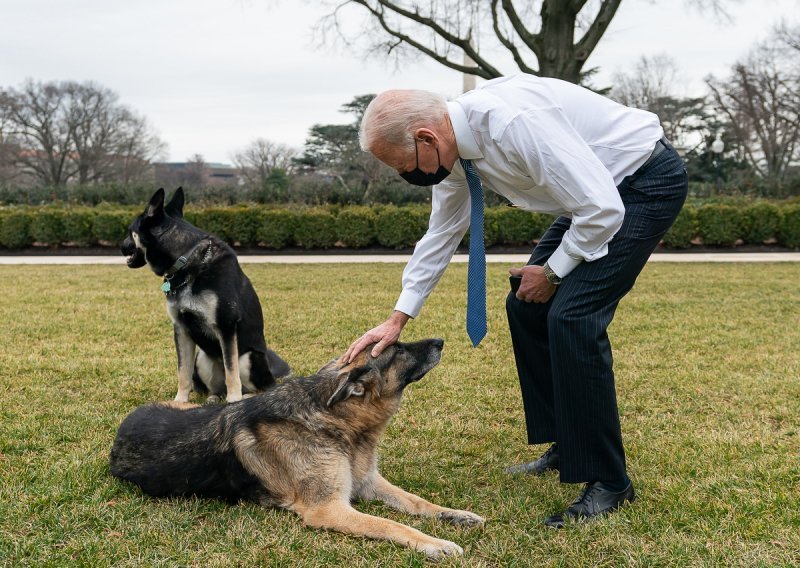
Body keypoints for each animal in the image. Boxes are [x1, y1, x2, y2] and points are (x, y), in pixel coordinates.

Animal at [109, 340, 484, 556]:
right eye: (400, 349)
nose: (440, 341)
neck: (334, 417)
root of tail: (122, 430)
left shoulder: (367, 482)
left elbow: (418, 502)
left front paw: (455, 514)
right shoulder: (329, 509)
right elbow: (392, 525)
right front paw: (435, 543)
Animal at [120, 189, 290, 402]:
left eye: (130, 230)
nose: (120, 246)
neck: (186, 261)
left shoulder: (226, 327)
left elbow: (231, 371)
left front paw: (233, 401)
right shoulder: (181, 329)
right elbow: (183, 372)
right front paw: (180, 401)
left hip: (248, 358)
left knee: (258, 387)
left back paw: (243, 397)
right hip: (202, 357)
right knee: (216, 386)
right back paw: (215, 397)